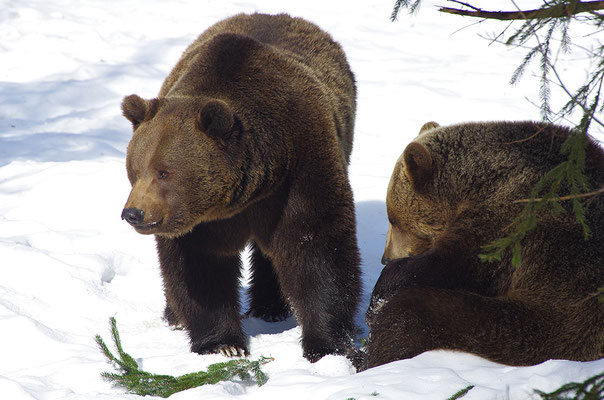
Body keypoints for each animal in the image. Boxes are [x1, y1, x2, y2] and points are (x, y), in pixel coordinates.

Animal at [120, 13, 360, 362]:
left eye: (164, 172)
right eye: (134, 170)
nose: (134, 213)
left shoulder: (300, 170)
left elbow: (315, 247)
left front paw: (328, 346)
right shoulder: (203, 221)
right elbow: (199, 269)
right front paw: (223, 343)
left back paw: (271, 306)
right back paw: (175, 316)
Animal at [360, 121, 604, 368]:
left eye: (393, 219)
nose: (385, 257)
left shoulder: (509, 219)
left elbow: (455, 263)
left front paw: (380, 296)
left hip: (550, 323)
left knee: (411, 310)